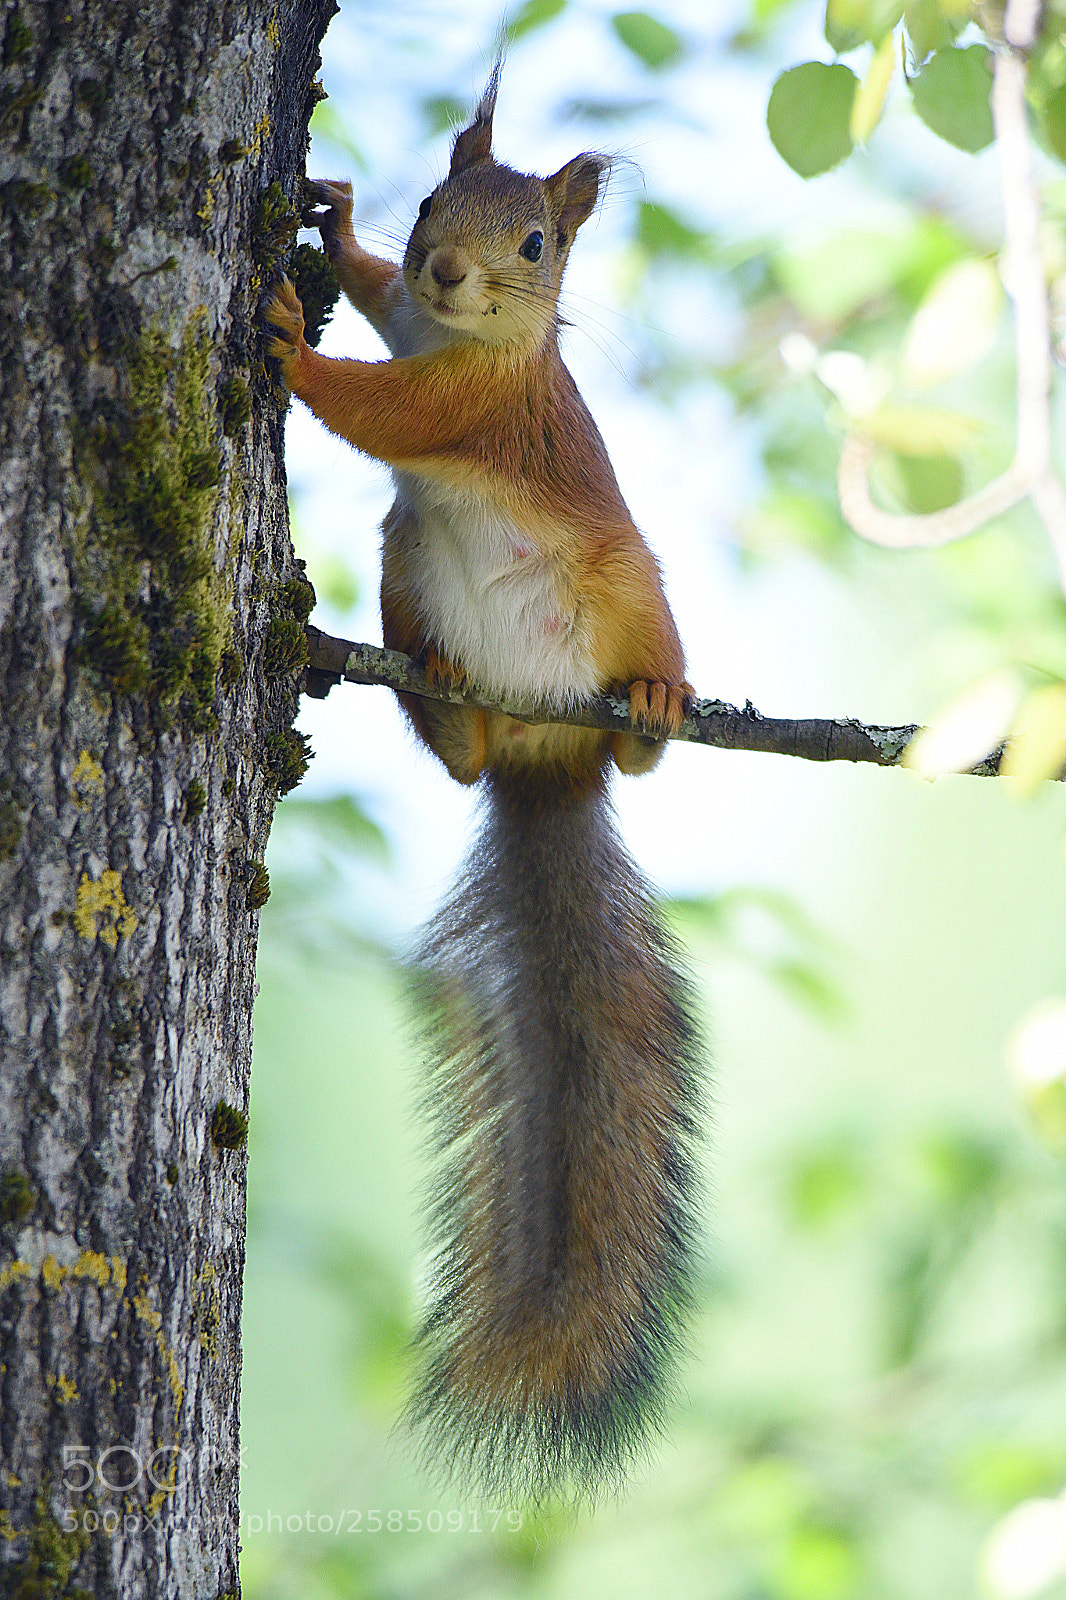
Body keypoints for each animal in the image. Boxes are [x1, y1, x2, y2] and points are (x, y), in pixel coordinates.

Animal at [264, 63, 702, 1503]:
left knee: (639, 722)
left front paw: (285, 343)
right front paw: (334, 227)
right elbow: (372, 306)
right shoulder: (408, 325)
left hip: (634, 595)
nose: (447, 270)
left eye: (536, 243)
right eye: (429, 207)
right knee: (451, 728)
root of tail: (540, 761)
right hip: (404, 571)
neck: (468, 338)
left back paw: (652, 714)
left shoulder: (467, 407)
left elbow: (380, 412)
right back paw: (451, 707)